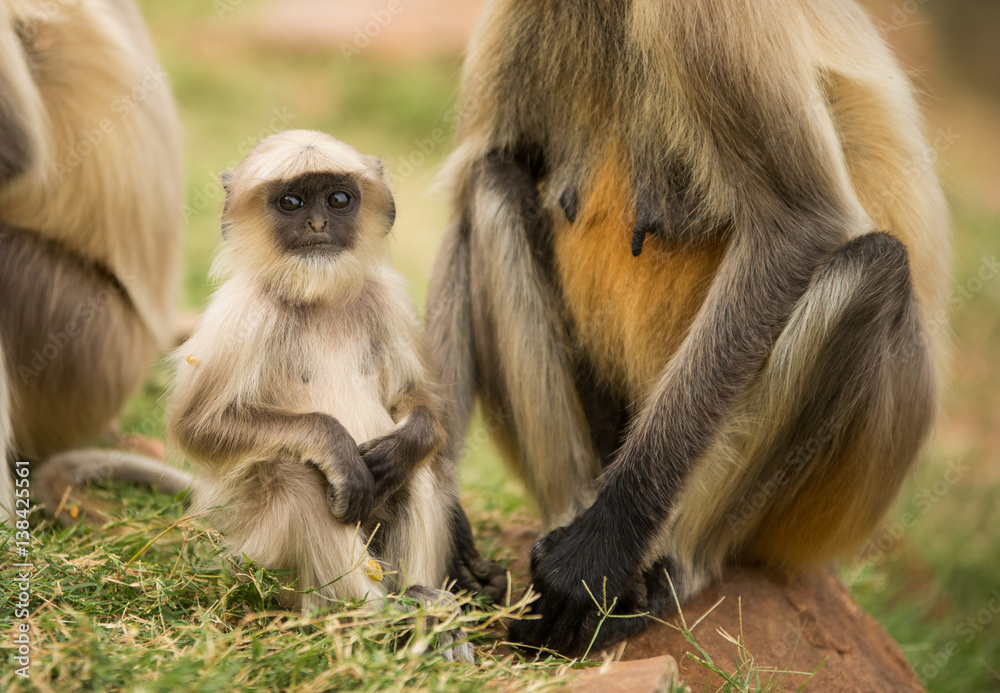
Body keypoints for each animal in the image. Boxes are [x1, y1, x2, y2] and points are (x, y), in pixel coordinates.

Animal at [167, 130, 501, 660]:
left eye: (338, 199)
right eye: (292, 202)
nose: (318, 223)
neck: (319, 297)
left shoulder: (389, 300)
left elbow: (419, 402)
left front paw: (407, 441)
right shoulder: (244, 313)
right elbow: (197, 427)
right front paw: (336, 446)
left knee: (417, 470)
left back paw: (420, 604)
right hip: (257, 563)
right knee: (297, 476)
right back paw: (373, 617)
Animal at [427, 0, 950, 655]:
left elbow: (798, 228)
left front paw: (594, 554)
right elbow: (474, 179)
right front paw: (442, 533)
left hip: (832, 497)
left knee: (873, 269)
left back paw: (674, 568)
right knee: (492, 183)